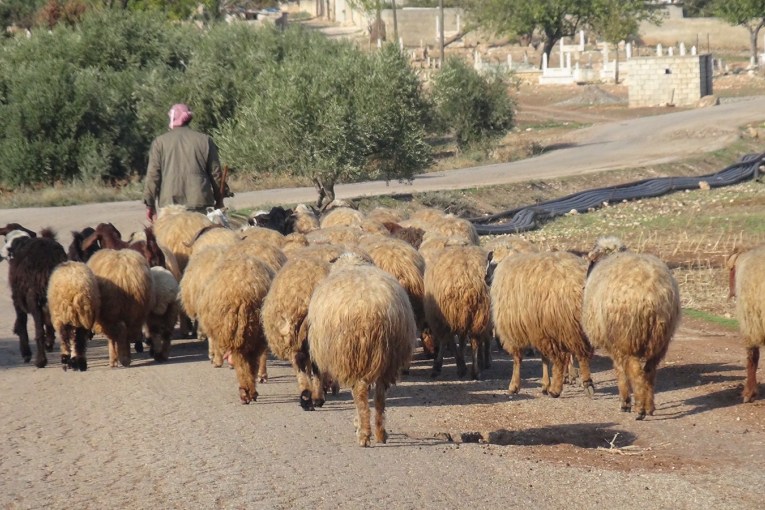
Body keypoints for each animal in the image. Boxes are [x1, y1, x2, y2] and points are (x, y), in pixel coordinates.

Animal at [302, 254, 414, 446]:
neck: (353, 263)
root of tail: (374, 312)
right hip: (388, 358)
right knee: (380, 396)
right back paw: (380, 433)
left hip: (354, 355)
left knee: (360, 394)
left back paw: (364, 433)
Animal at [490, 251, 592, 398]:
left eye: (492, 263)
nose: (486, 278)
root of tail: (577, 283)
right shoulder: (538, 328)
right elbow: (544, 358)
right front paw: (545, 384)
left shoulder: (516, 329)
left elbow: (517, 358)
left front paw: (514, 385)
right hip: (575, 327)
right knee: (581, 353)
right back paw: (587, 383)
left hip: (559, 326)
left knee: (560, 359)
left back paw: (556, 389)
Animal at [580, 237, 680, 420]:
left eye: (591, 262)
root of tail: (651, 295)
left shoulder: (614, 344)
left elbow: (620, 371)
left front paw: (625, 402)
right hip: (660, 340)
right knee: (650, 371)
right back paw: (649, 407)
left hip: (628, 335)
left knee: (635, 371)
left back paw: (639, 409)